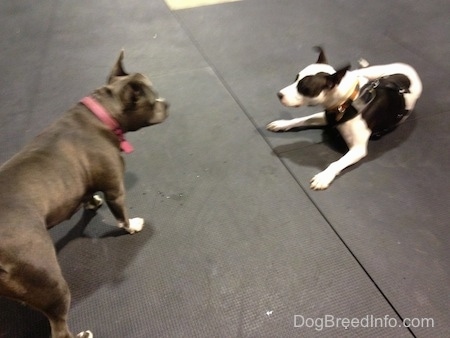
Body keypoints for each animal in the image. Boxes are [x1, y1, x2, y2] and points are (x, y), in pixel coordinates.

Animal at [268, 46, 422, 190]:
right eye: (296, 78)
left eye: (304, 88)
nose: (279, 94)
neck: (349, 100)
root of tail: (411, 70)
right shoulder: (327, 116)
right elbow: (302, 119)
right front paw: (282, 124)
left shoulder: (358, 149)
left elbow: (336, 163)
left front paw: (324, 176)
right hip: (372, 72)